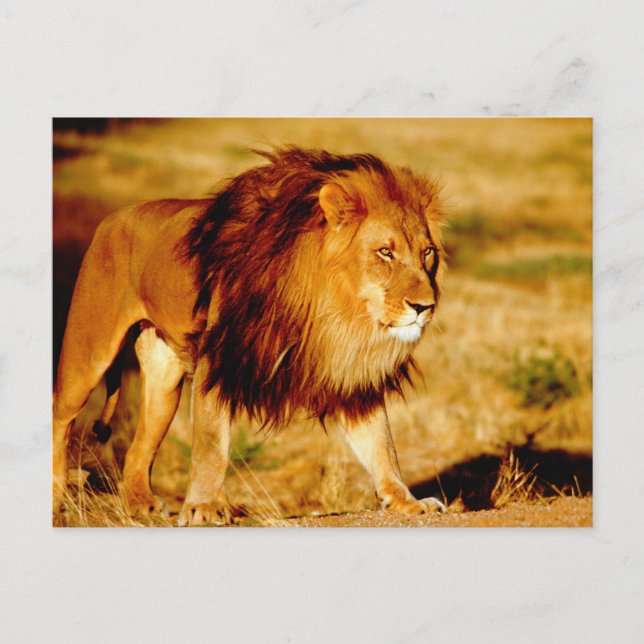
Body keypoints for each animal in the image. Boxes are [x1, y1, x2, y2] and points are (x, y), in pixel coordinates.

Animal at [53, 147, 448, 525]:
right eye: (385, 252)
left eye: (427, 252)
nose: (425, 306)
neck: (336, 310)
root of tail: (115, 216)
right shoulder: (218, 358)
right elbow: (211, 443)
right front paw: (204, 506)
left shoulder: (349, 374)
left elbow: (381, 444)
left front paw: (406, 501)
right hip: (87, 355)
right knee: (61, 415)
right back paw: (58, 499)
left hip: (163, 384)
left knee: (137, 450)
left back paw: (140, 505)